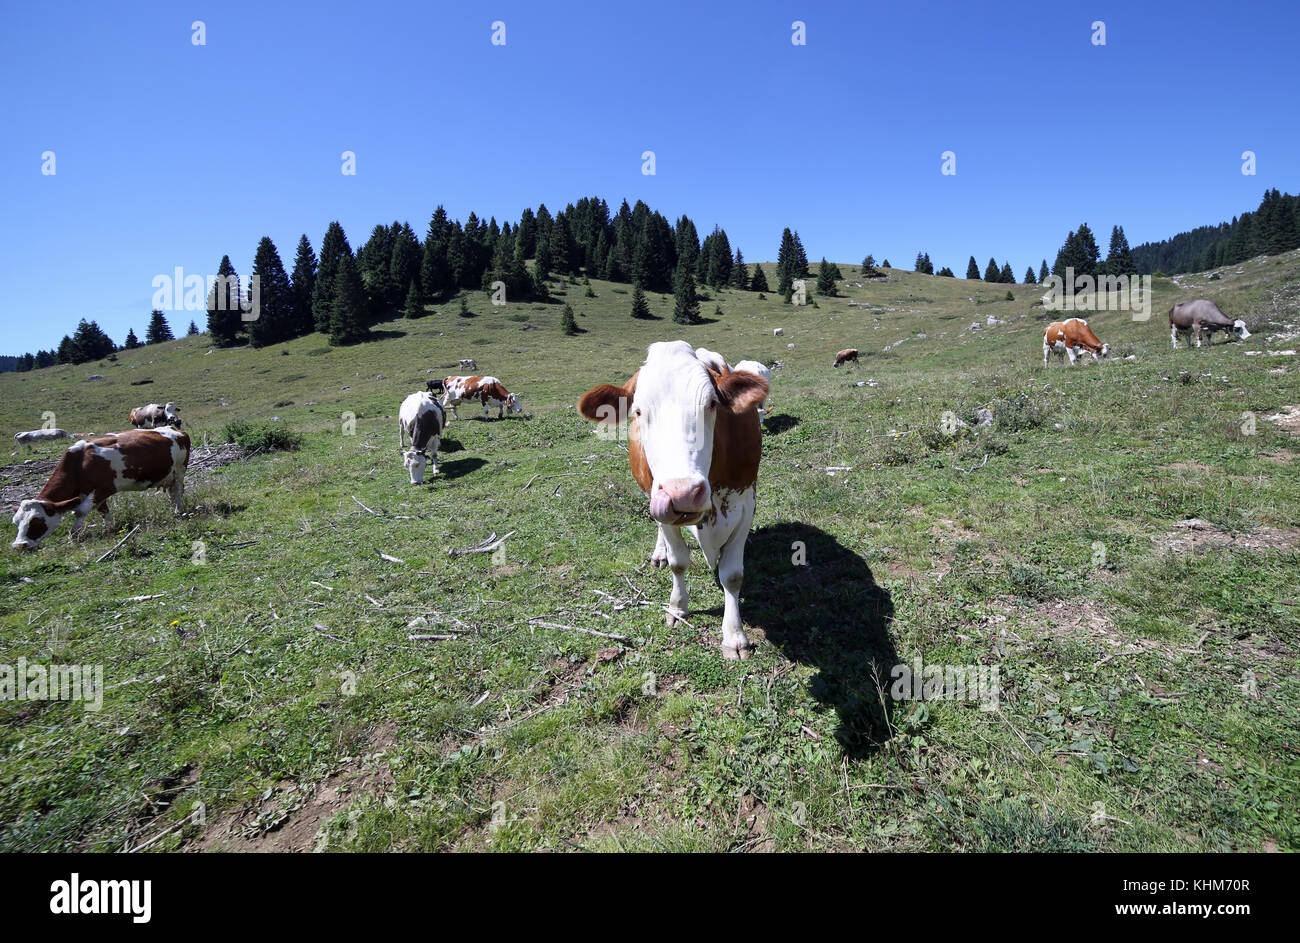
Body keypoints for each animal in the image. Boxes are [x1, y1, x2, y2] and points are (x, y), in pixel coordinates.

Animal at [10, 427, 191, 551]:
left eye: (36, 521)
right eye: (16, 522)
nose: (19, 545)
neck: (79, 463)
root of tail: (176, 430)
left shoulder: (104, 488)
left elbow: (80, 511)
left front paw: (73, 536)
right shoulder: (91, 492)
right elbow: (103, 510)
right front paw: (109, 529)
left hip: (180, 470)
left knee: (178, 492)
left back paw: (178, 511)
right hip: (168, 476)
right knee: (171, 493)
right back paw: (171, 508)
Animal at [578, 341, 768, 659]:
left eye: (712, 404)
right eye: (638, 411)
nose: (683, 493)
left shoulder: (745, 504)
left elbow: (732, 576)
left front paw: (734, 636)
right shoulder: (661, 506)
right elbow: (679, 562)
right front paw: (678, 607)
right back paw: (660, 553)